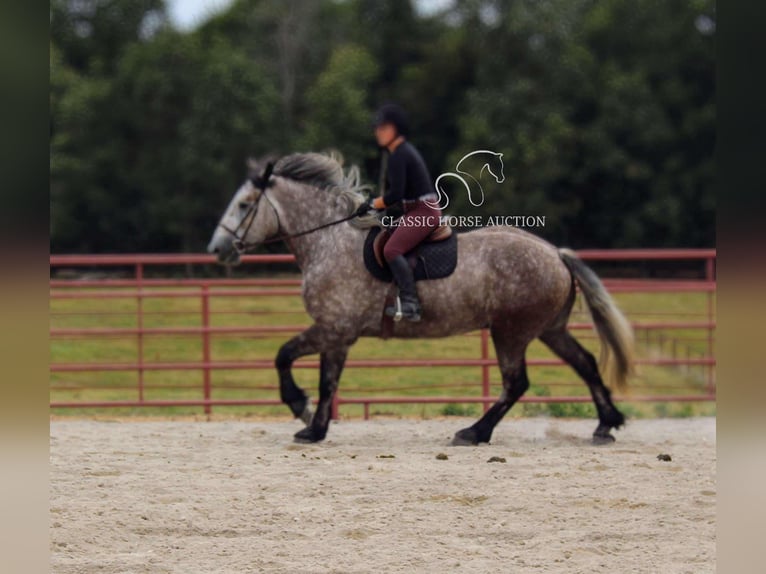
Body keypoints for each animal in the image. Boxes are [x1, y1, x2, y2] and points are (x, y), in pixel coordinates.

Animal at [207, 153, 632, 446]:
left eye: (244, 204)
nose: (217, 249)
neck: (329, 242)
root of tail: (554, 253)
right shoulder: (336, 334)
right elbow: (328, 380)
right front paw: (315, 429)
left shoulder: (333, 328)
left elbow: (285, 357)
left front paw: (299, 407)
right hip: (548, 329)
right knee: (585, 363)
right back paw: (606, 424)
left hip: (511, 332)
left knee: (516, 383)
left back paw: (474, 432)